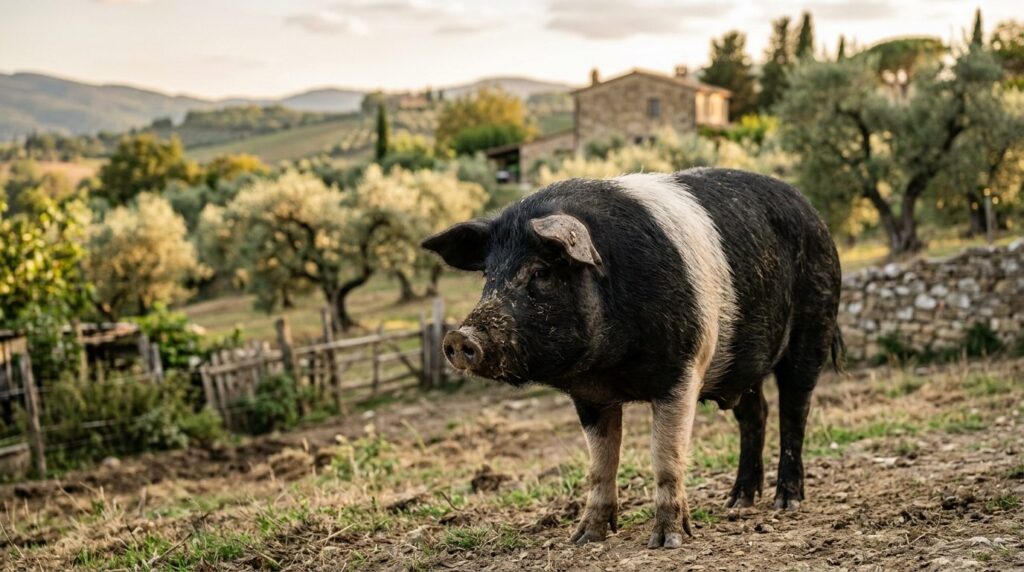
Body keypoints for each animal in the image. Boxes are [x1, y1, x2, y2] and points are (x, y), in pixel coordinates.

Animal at [421, 168, 842, 548]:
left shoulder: (682, 371)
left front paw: (667, 541)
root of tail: (813, 212)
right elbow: (599, 463)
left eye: (540, 271)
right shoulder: (589, 396)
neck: (611, 366)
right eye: (488, 276)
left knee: (794, 410)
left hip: (813, 326)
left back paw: (786, 502)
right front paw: (584, 538)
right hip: (740, 364)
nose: (459, 338)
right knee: (755, 415)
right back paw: (737, 502)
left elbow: (665, 456)